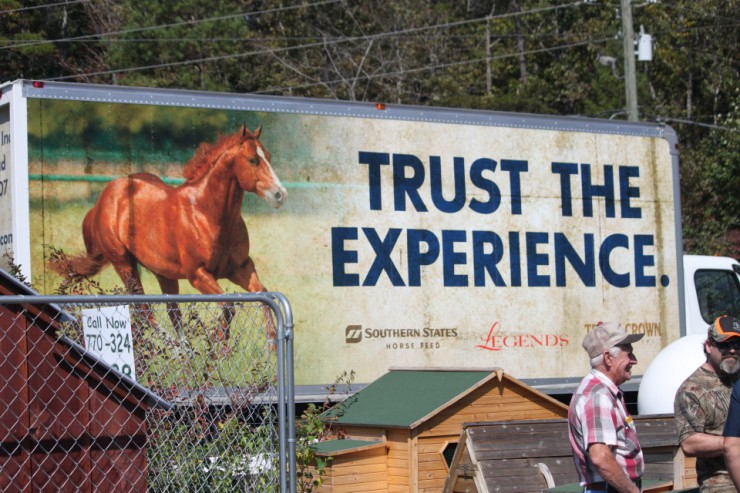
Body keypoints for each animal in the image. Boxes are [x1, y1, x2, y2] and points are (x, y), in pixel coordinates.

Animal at [51, 125, 286, 344]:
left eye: (269, 157)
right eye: (253, 160)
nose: (280, 195)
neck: (207, 214)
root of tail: (101, 202)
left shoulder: (241, 268)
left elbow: (264, 295)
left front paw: (272, 343)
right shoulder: (198, 275)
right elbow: (228, 305)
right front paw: (218, 338)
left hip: (163, 273)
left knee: (172, 312)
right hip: (124, 265)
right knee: (145, 311)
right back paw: (175, 348)